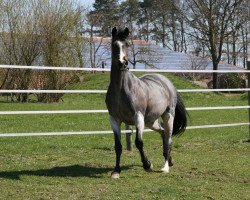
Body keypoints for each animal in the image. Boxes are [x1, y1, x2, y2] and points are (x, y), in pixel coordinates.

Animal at [105, 27, 188, 179]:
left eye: (127, 44)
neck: (122, 89)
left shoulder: (138, 116)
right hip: (151, 121)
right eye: (114, 45)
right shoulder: (114, 119)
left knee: (168, 138)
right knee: (163, 132)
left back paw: (165, 167)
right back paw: (169, 159)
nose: (122, 63)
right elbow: (118, 146)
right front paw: (116, 171)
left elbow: (139, 142)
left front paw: (147, 165)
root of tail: (167, 82)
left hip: (168, 116)